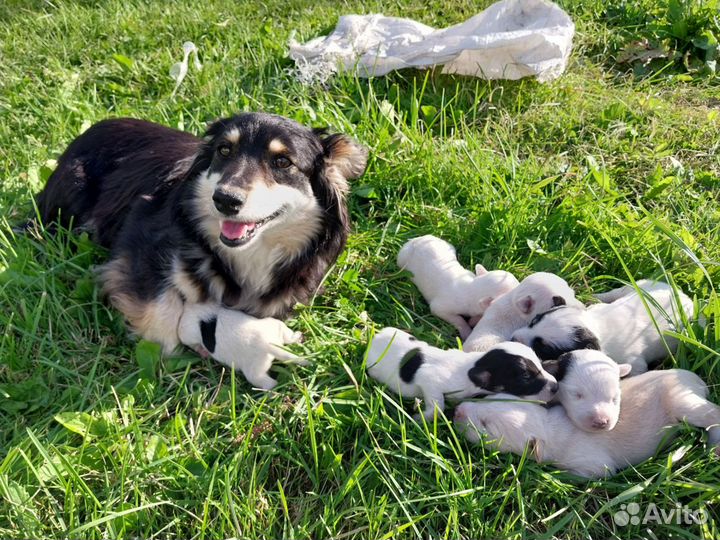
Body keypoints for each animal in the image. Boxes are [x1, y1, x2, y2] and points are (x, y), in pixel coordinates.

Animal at [366, 326, 556, 420]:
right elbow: (438, 406)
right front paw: (421, 417)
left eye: (539, 363)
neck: (475, 365)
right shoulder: (430, 379)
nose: (555, 387)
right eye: (526, 377)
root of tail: (376, 337)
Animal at [456, 364, 720, 478]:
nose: (456, 411)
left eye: (486, 425)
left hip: (681, 400)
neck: (549, 426)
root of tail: (697, 380)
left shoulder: (590, 462)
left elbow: (595, 472)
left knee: (711, 414)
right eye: (487, 399)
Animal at [512, 278, 692, 376]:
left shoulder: (635, 363)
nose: (513, 338)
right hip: (638, 286)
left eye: (543, 347)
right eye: (533, 321)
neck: (595, 325)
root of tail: (685, 298)